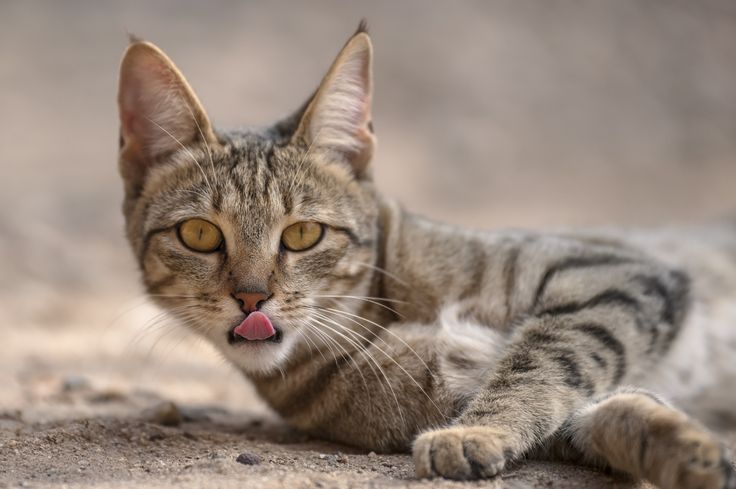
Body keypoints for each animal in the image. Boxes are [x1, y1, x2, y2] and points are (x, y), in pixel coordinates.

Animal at [115, 22, 736, 488]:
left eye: (303, 235)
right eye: (199, 234)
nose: (251, 298)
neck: (386, 311)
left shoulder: (612, 276)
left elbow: (539, 362)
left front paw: (473, 432)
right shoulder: (550, 405)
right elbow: (603, 405)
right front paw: (692, 452)